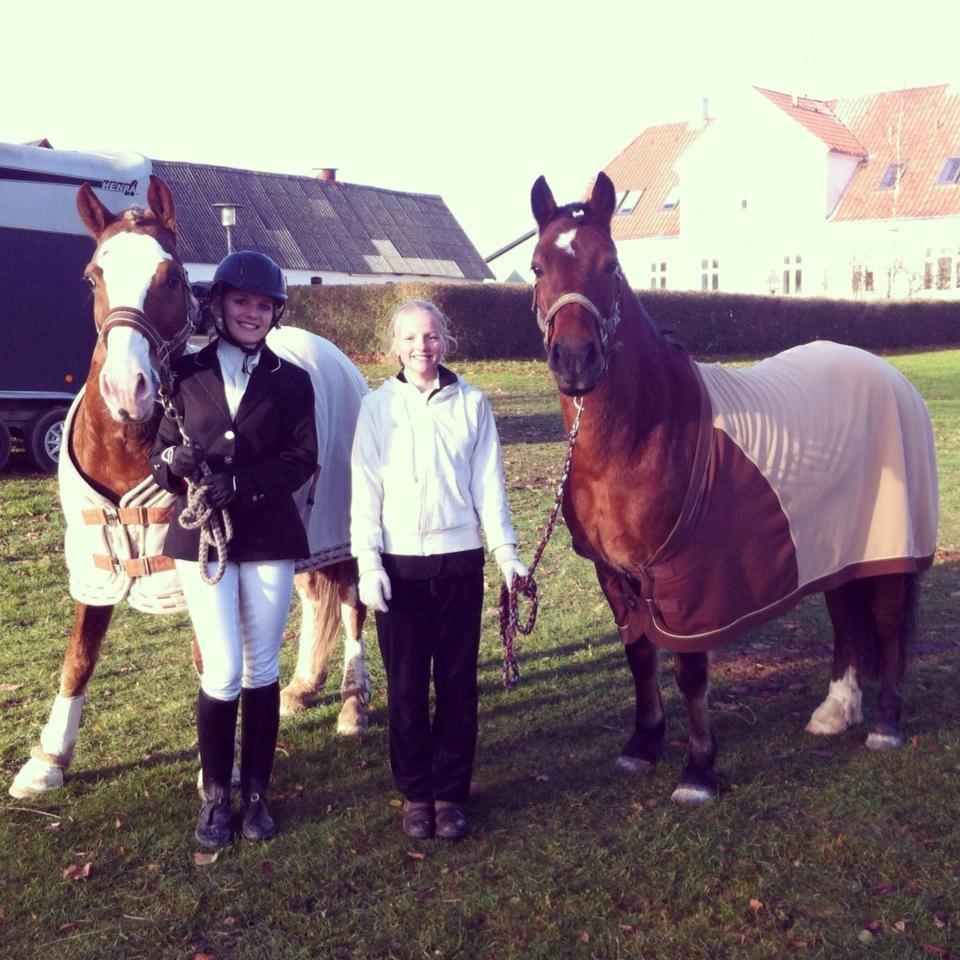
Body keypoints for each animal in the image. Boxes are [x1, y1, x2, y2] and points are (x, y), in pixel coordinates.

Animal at [9, 176, 370, 800]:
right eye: (93, 275)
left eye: (172, 276)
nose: (127, 389)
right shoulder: (97, 560)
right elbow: (79, 654)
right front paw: (48, 759)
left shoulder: (197, 564)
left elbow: (210, 659)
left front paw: (219, 768)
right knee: (312, 596)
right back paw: (302, 687)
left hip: (339, 525)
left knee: (350, 602)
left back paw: (351, 703)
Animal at [524, 171, 936, 804]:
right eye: (538, 267)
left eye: (611, 265)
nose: (574, 360)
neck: (641, 434)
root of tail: (892, 378)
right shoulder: (614, 575)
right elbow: (638, 655)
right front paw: (642, 745)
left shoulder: (686, 581)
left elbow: (689, 671)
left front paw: (698, 771)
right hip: (837, 547)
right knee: (846, 618)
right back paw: (835, 712)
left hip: (889, 545)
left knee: (887, 621)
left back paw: (886, 725)